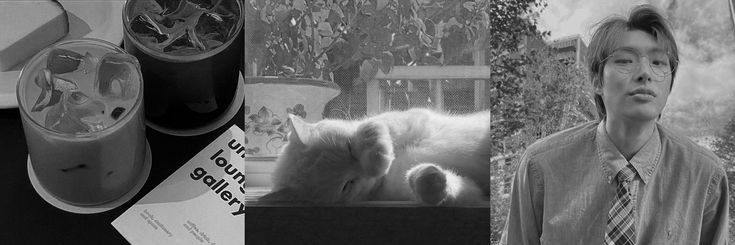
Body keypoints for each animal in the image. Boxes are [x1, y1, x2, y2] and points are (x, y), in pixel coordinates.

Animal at [258, 108, 488, 206]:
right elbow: (450, 187)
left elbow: (372, 127)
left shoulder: (405, 117)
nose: (369, 172)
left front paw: (380, 158)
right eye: (347, 185)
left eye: (350, 148)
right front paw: (431, 181)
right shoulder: (471, 190)